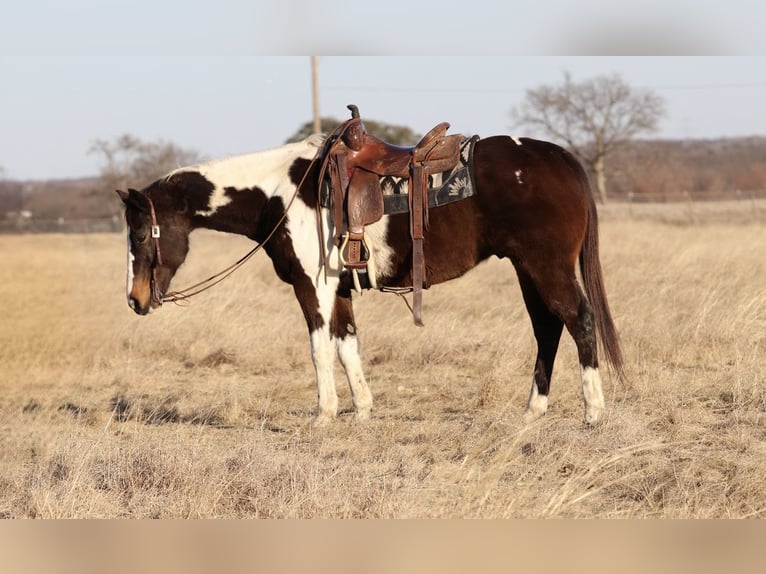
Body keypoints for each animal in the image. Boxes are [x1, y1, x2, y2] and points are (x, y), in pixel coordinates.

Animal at [117, 131, 624, 427]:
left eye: (139, 233)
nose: (135, 299)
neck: (283, 192)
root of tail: (558, 156)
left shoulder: (313, 287)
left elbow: (320, 348)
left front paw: (324, 414)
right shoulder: (340, 290)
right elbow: (347, 345)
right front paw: (361, 409)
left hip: (546, 267)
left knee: (579, 321)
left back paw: (593, 411)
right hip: (527, 269)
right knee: (548, 329)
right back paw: (533, 409)